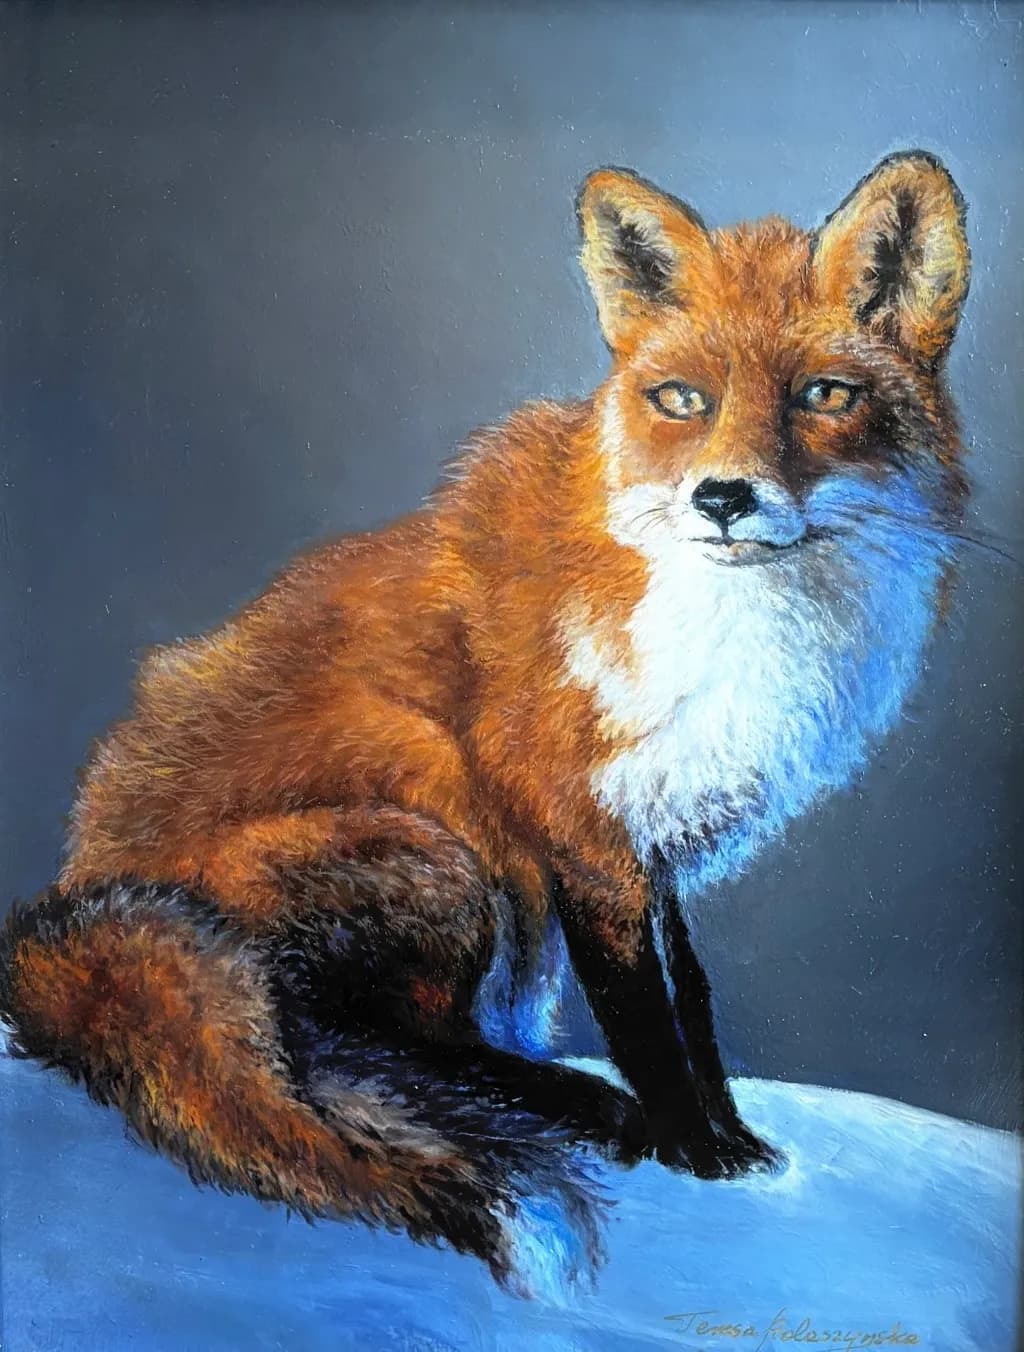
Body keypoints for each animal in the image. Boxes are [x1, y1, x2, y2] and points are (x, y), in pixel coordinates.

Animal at [0, 151, 970, 1291]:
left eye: (825, 395)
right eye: (681, 400)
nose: (723, 497)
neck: (729, 621)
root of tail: (74, 906)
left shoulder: (650, 830)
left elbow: (693, 1000)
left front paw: (730, 1135)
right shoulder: (577, 827)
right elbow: (646, 1019)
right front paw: (691, 1147)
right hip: (440, 835)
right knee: (360, 1036)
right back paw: (570, 1102)